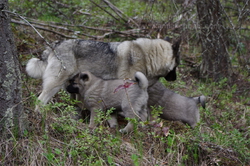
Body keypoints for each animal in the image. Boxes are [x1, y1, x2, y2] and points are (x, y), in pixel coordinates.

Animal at [25, 38, 180, 112]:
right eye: (177, 65)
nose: (175, 79)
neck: (147, 56)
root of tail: (55, 44)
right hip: (55, 84)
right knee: (40, 100)